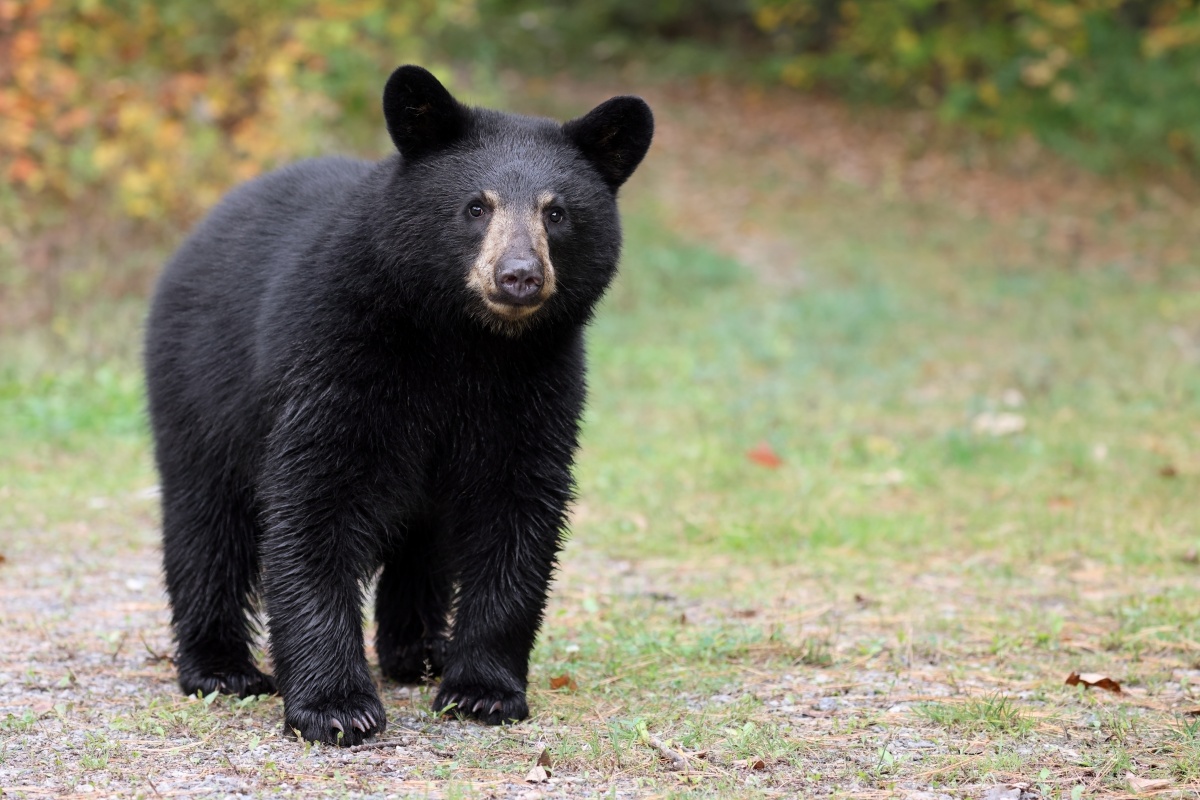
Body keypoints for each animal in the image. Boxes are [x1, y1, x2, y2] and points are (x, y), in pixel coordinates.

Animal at [143, 65, 653, 746]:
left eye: (558, 212)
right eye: (476, 206)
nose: (519, 276)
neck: (463, 344)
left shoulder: (538, 382)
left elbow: (517, 509)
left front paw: (482, 691)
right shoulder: (337, 351)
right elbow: (315, 498)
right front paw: (335, 706)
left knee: (423, 541)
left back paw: (419, 652)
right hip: (200, 385)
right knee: (205, 519)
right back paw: (221, 667)